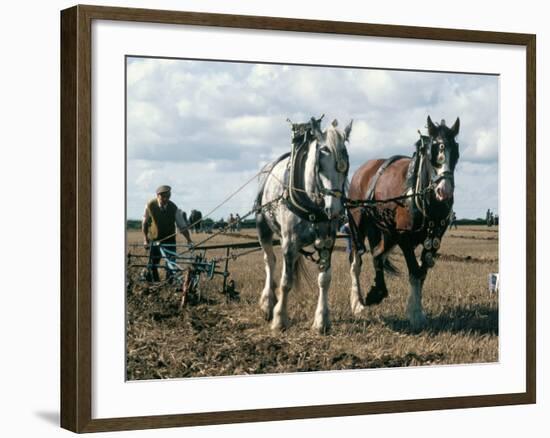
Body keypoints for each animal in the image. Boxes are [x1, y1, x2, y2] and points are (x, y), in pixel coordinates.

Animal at [350, 116, 462, 328]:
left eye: (456, 153)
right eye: (432, 151)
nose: (444, 191)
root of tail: (364, 169)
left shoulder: (433, 240)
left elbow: (421, 273)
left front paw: (414, 310)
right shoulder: (404, 238)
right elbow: (414, 272)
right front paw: (416, 314)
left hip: (387, 233)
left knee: (377, 255)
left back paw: (377, 292)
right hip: (358, 225)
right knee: (356, 262)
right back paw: (357, 303)